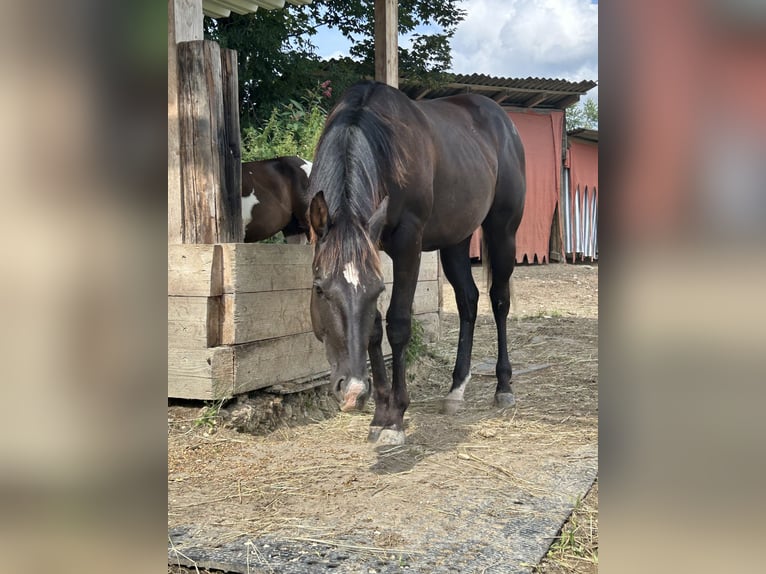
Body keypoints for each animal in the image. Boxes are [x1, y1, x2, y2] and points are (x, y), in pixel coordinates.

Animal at [308, 83, 524, 448]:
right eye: (320, 289)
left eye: (377, 289)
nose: (353, 391)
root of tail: (504, 122)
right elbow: (374, 329)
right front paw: (380, 414)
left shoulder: (409, 244)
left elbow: (398, 324)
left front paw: (395, 418)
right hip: (456, 239)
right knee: (468, 300)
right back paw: (455, 390)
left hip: (502, 231)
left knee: (499, 300)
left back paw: (504, 386)